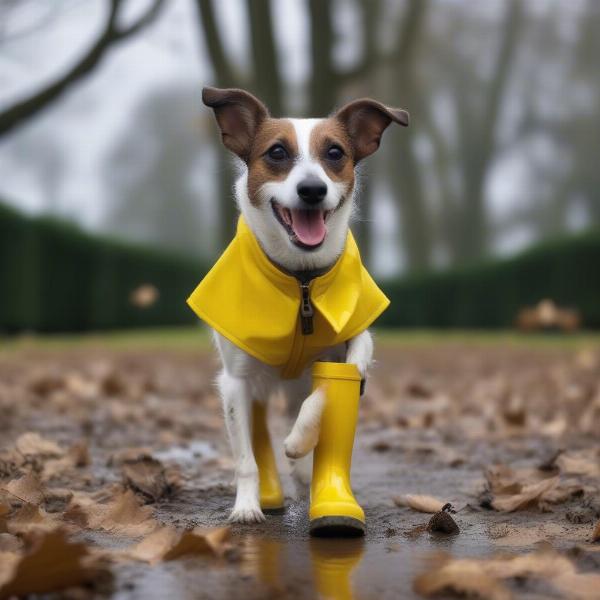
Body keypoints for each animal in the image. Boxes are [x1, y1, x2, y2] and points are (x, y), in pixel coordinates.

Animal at [192, 86, 408, 524]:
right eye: (277, 152)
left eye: (335, 153)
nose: (312, 189)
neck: (301, 278)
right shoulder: (235, 381)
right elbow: (245, 457)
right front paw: (246, 505)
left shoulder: (355, 346)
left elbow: (330, 388)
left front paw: (300, 444)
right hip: (254, 385)